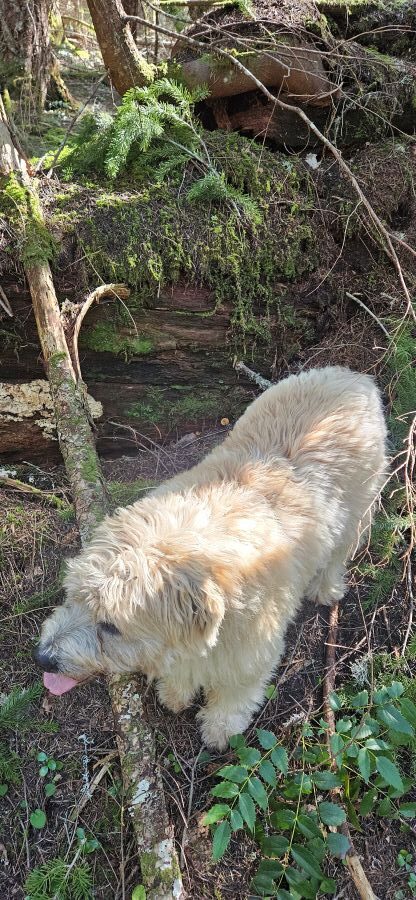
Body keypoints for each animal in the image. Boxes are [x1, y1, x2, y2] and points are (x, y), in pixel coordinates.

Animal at [34, 367, 387, 749]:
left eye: (111, 625)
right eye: (72, 596)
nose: (43, 659)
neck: (193, 549)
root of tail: (353, 377)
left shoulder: (251, 650)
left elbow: (236, 690)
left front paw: (220, 726)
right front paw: (176, 692)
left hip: (359, 509)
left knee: (340, 552)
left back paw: (326, 587)